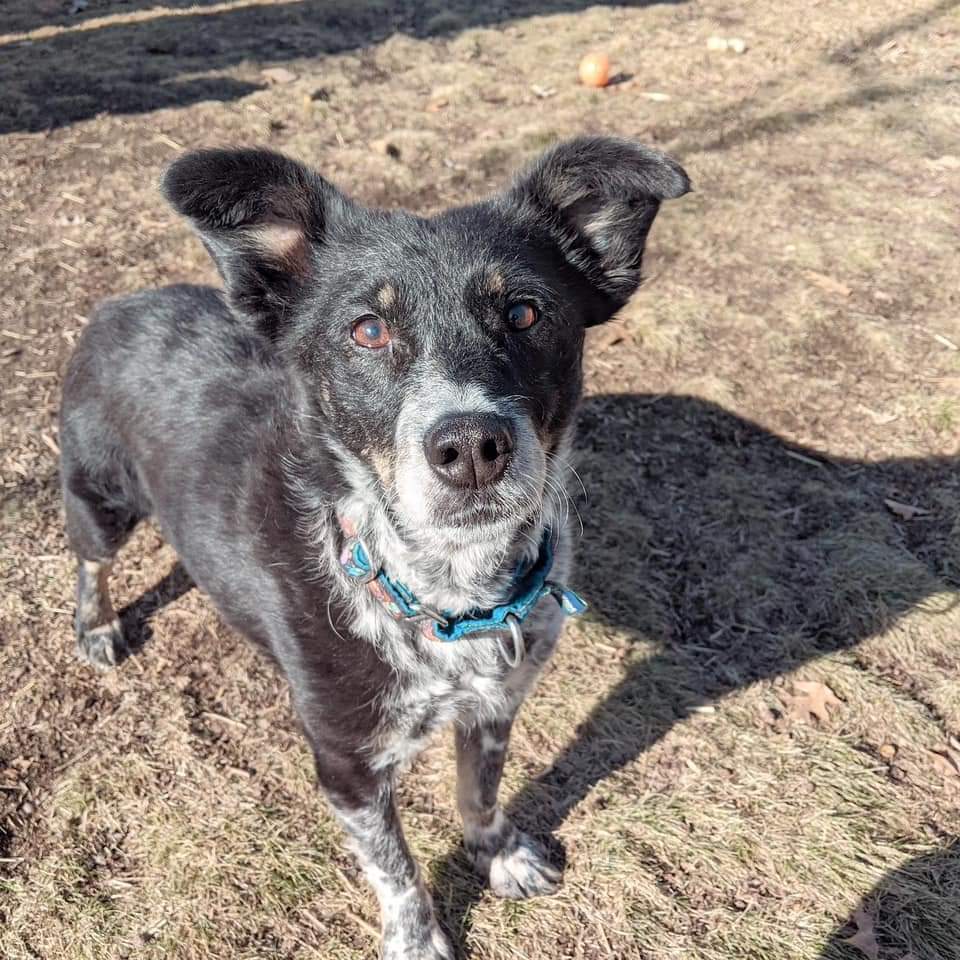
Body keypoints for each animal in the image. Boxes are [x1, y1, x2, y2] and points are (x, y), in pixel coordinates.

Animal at [60, 137, 688, 960]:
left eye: (525, 313)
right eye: (367, 330)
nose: (471, 447)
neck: (443, 591)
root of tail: (122, 303)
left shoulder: (494, 707)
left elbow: (478, 792)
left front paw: (500, 854)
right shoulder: (346, 765)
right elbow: (396, 866)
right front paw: (419, 940)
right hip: (100, 492)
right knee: (91, 558)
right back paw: (97, 625)